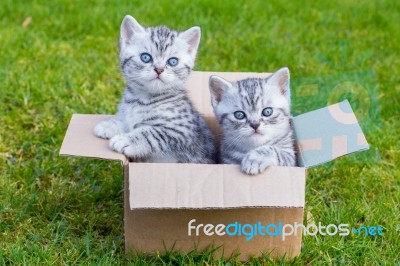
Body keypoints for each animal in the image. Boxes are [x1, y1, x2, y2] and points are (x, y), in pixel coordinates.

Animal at [94, 16, 216, 164]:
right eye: (145, 57)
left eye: (172, 61)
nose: (159, 69)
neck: (142, 99)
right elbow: (125, 120)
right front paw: (109, 125)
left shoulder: (181, 132)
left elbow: (151, 133)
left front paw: (125, 140)